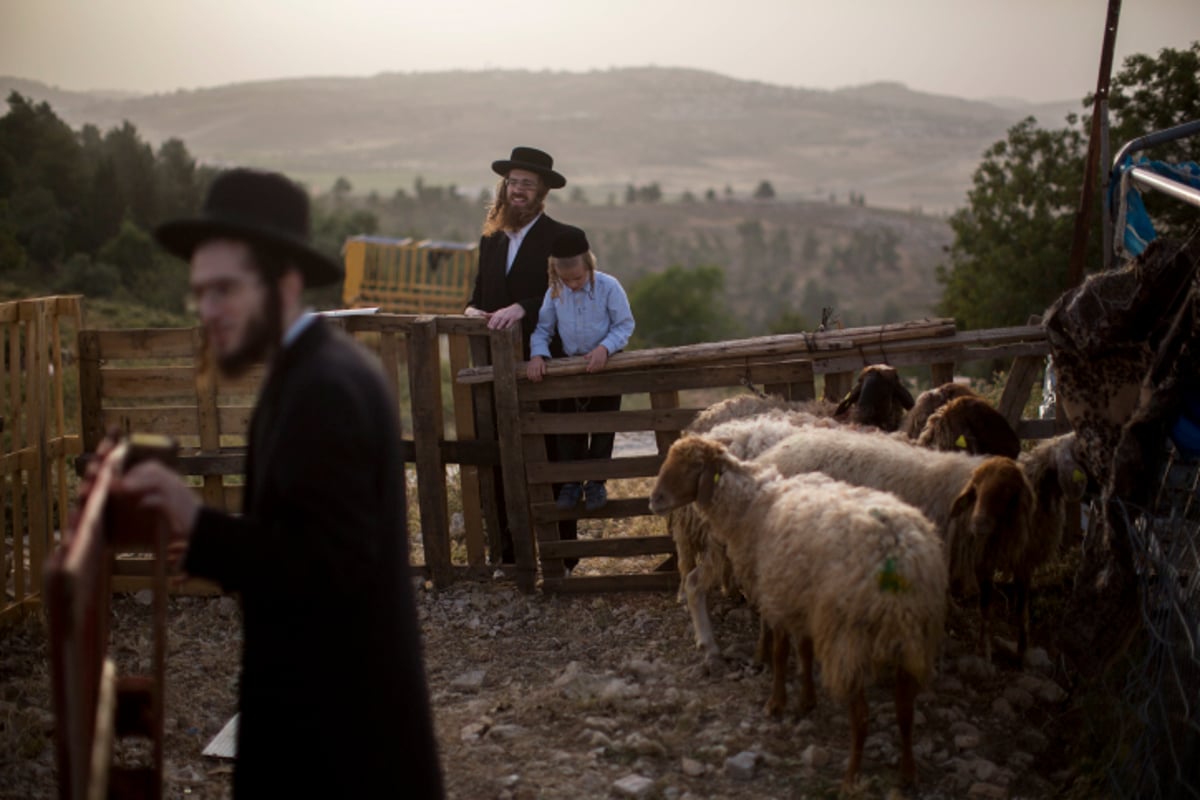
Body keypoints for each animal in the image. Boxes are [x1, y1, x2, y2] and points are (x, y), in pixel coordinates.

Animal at [648, 438, 945, 796]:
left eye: (690, 467)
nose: (654, 500)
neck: (752, 505)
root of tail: (899, 552)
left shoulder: (777, 595)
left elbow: (780, 653)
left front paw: (776, 704)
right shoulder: (800, 597)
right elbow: (803, 651)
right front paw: (806, 700)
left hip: (849, 636)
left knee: (861, 716)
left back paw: (851, 778)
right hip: (913, 636)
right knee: (904, 710)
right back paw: (908, 774)